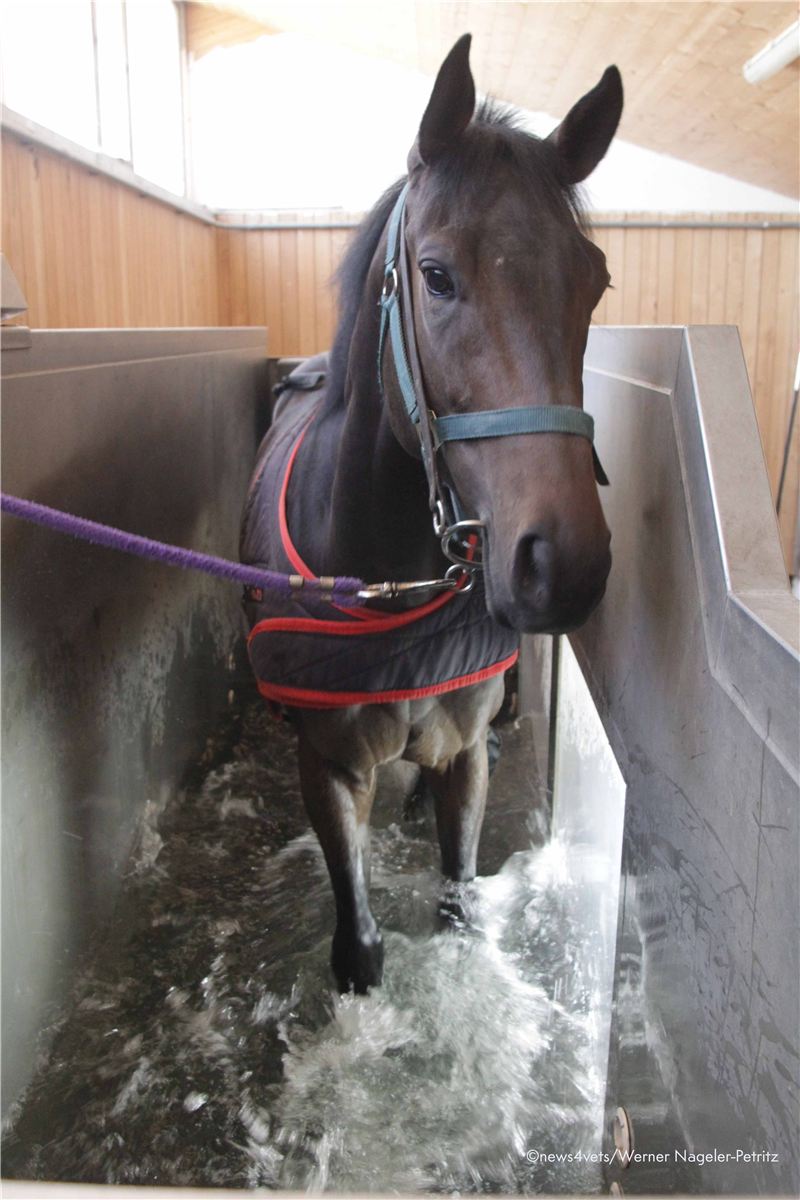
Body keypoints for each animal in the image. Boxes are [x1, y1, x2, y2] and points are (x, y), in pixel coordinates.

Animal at [240, 34, 622, 994]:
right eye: (436, 275)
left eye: (595, 283)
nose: (564, 565)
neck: (388, 582)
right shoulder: (331, 771)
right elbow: (359, 947)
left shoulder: (463, 758)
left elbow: (458, 902)